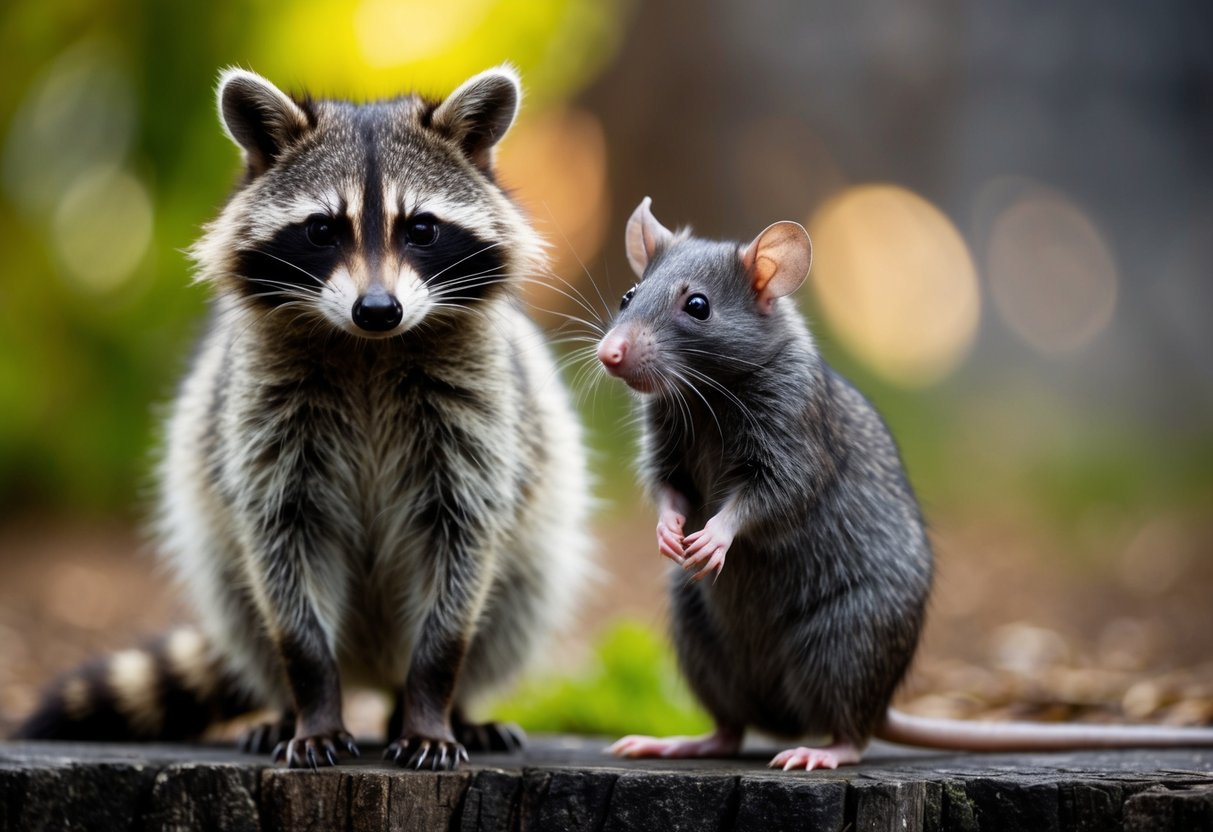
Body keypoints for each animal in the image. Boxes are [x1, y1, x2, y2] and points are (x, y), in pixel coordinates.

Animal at [15, 66, 593, 770]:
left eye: (422, 229)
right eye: (322, 230)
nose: (379, 309)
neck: (369, 349)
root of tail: (372, 669)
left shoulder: (482, 420)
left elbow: (462, 561)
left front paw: (432, 708)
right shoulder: (263, 425)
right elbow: (284, 564)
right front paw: (313, 708)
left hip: (536, 545)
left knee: (513, 609)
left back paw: (448, 709)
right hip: (221, 556)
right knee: (244, 608)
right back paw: (286, 710)